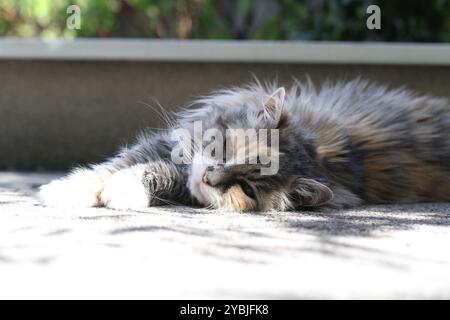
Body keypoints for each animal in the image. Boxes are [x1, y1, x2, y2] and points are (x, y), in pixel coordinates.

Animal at [37, 79, 450, 211]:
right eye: (226, 149)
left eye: (247, 188)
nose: (210, 178)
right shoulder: (168, 147)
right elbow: (109, 168)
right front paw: (62, 192)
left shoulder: (178, 176)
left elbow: (145, 175)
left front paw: (122, 193)